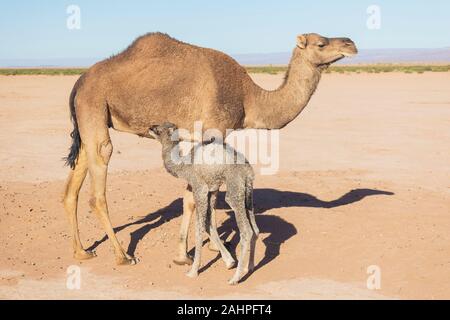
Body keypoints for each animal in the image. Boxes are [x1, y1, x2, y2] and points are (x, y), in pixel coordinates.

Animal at [63, 32, 358, 264]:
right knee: (100, 170)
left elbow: (191, 198)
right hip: (94, 105)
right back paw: (122, 255)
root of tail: (79, 82)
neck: (249, 98)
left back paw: (81, 251)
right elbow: (205, 196)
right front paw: (213, 250)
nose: (351, 43)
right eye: (321, 43)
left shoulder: (199, 138)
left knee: (74, 182)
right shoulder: (214, 132)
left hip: (89, 118)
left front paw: (185, 254)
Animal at [149, 122, 258, 284]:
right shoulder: (212, 190)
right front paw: (229, 261)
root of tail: (247, 168)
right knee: (255, 229)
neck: (183, 166)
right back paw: (249, 267)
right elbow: (209, 224)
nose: (149, 127)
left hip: (234, 189)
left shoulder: (199, 188)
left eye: (158, 129)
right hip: (248, 192)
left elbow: (199, 229)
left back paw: (235, 279)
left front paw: (193, 271)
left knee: (246, 231)